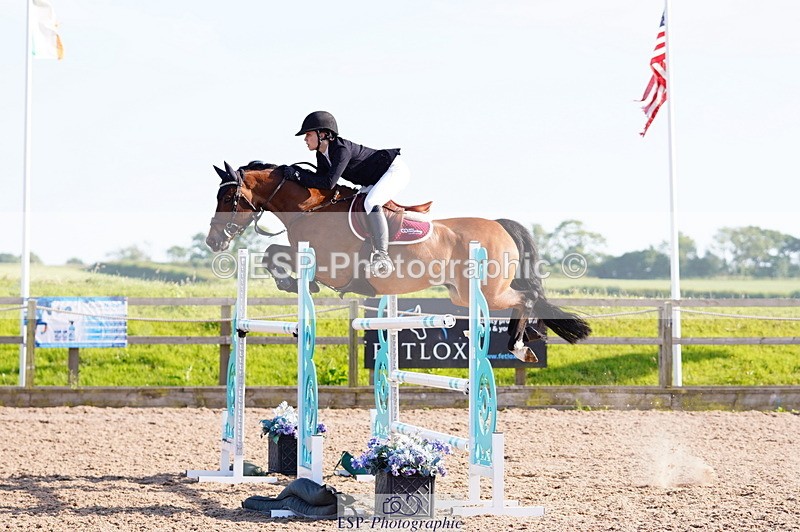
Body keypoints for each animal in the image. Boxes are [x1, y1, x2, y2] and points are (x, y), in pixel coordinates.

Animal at [205, 161, 590, 361]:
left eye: (228, 197)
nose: (213, 241)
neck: (310, 210)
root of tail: (499, 225)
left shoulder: (332, 267)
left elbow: (278, 256)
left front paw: (292, 282)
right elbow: (272, 254)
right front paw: (291, 282)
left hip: (485, 291)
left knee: (527, 297)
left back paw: (519, 344)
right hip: (462, 294)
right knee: (526, 298)